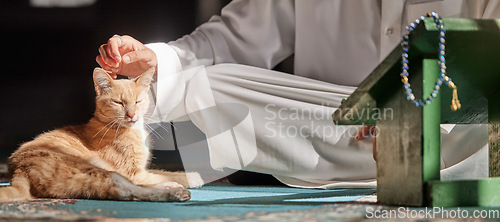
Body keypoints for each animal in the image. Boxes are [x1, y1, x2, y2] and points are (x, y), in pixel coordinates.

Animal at [0, 68, 203, 203]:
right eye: (119, 103)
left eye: (138, 101)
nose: (131, 115)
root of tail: (18, 169)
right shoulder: (135, 172)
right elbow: (164, 174)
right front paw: (192, 177)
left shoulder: (138, 172)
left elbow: (159, 173)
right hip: (95, 169)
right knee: (127, 190)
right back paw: (173, 191)